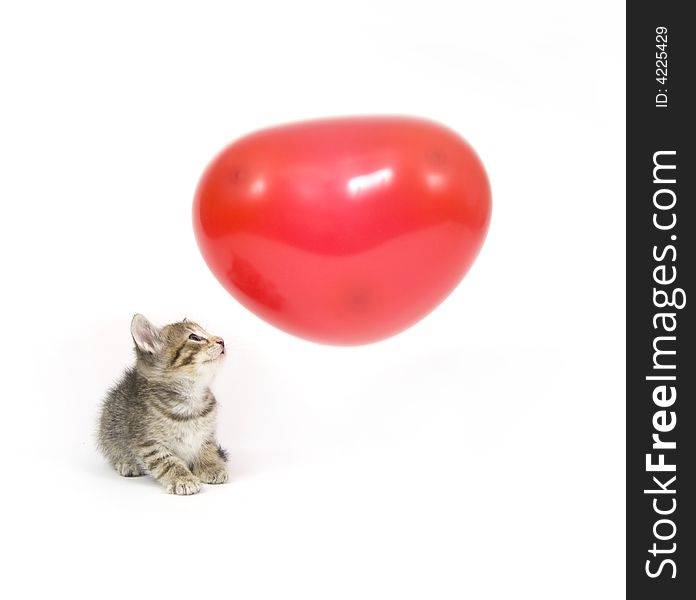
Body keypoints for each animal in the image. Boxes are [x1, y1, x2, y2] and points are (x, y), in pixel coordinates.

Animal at [98, 314, 230, 492]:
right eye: (194, 337)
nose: (221, 340)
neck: (191, 399)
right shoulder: (149, 443)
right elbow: (167, 462)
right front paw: (183, 478)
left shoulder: (207, 432)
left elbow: (207, 448)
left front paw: (211, 466)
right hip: (108, 432)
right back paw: (127, 463)